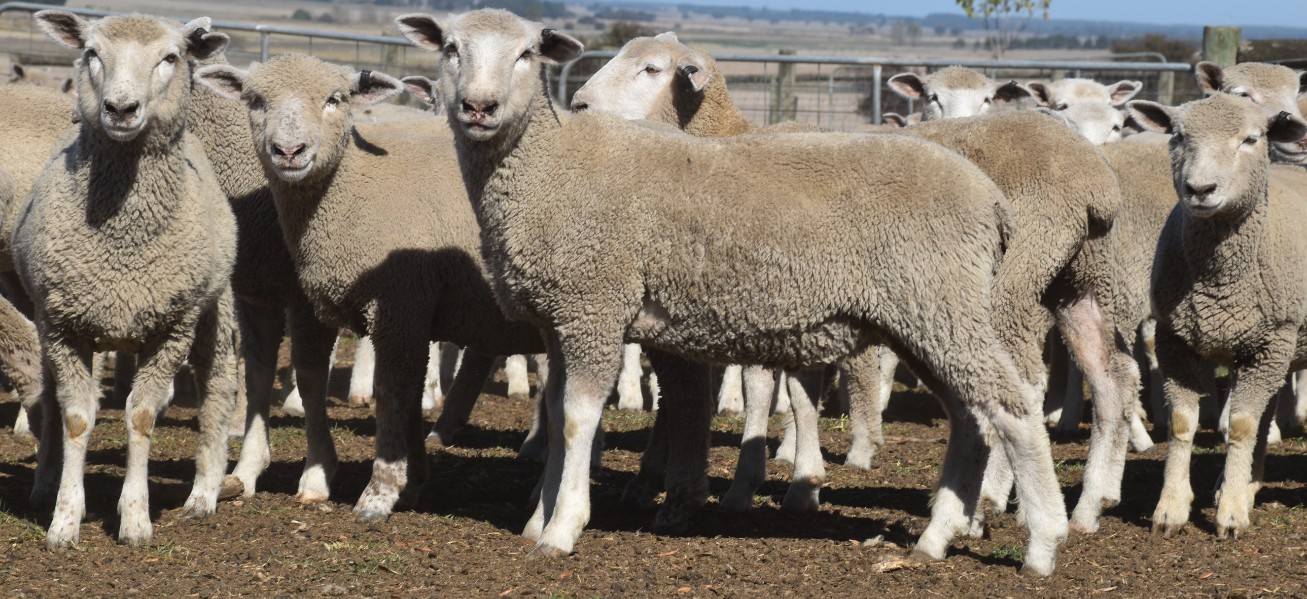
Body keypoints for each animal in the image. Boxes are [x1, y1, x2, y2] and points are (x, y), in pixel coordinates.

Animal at [13, 12, 240, 546]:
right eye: (92, 53)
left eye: (170, 57)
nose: (120, 108)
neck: (123, 238)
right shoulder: (63, 325)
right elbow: (76, 419)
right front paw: (64, 518)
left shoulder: (173, 327)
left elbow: (140, 415)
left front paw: (135, 518)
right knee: (50, 401)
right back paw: (45, 481)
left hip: (211, 308)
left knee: (218, 386)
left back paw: (204, 493)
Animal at [397, 7, 1071, 572]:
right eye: (452, 49)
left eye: (527, 54)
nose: (479, 106)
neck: (550, 166)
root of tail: (992, 200)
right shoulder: (562, 317)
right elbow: (558, 410)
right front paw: (538, 519)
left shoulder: (596, 304)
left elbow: (578, 417)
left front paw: (563, 528)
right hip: (927, 317)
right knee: (971, 417)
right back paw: (937, 536)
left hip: (941, 304)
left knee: (1011, 407)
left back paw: (1043, 542)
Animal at [572, 39, 1134, 533]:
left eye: (651, 68)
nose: (578, 104)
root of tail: (1095, 177)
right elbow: (775, 391)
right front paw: (794, 481)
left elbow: (753, 389)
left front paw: (744, 484)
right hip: (1081, 282)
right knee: (1112, 380)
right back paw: (1091, 504)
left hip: (1003, 287)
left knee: (1019, 385)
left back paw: (993, 500)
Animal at [1124, 96, 1307, 538]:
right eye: (1177, 136)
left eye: (1251, 139)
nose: (1200, 190)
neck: (1218, 279)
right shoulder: (1175, 340)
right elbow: (1181, 423)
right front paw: (1171, 508)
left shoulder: (1272, 341)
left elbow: (1240, 425)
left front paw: (1231, 516)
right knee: (1266, 413)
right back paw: (1246, 484)